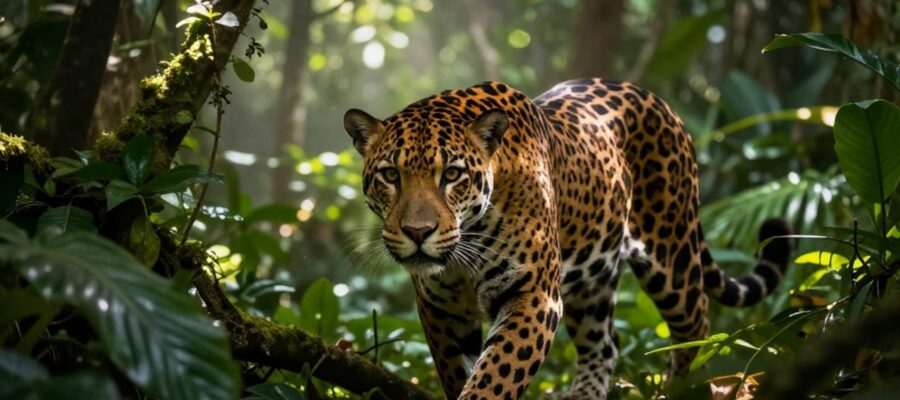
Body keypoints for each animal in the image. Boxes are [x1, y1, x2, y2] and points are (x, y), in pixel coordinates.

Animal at [342, 79, 792, 399]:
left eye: (451, 175)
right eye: (390, 175)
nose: (418, 233)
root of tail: (655, 98)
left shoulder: (534, 297)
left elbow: (495, 377)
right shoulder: (441, 309)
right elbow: (458, 373)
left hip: (673, 258)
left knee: (696, 328)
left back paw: (682, 390)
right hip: (591, 281)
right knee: (605, 344)